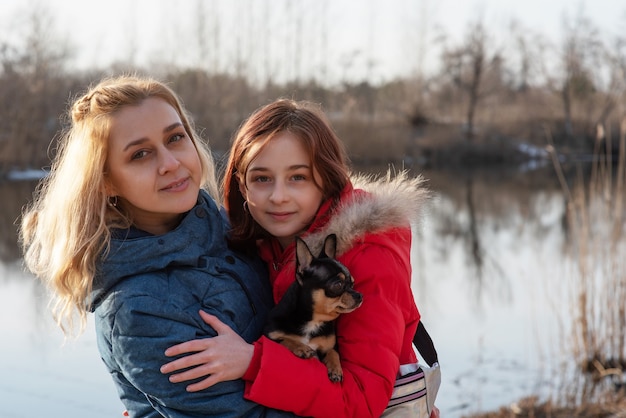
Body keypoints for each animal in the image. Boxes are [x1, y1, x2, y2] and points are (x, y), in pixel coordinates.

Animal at [262, 233, 360, 380]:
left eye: (352, 284)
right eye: (338, 285)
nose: (360, 296)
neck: (314, 321)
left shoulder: (329, 346)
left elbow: (333, 352)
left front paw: (336, 369)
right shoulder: (269, 336)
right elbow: (285, 340)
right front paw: (301, 347)